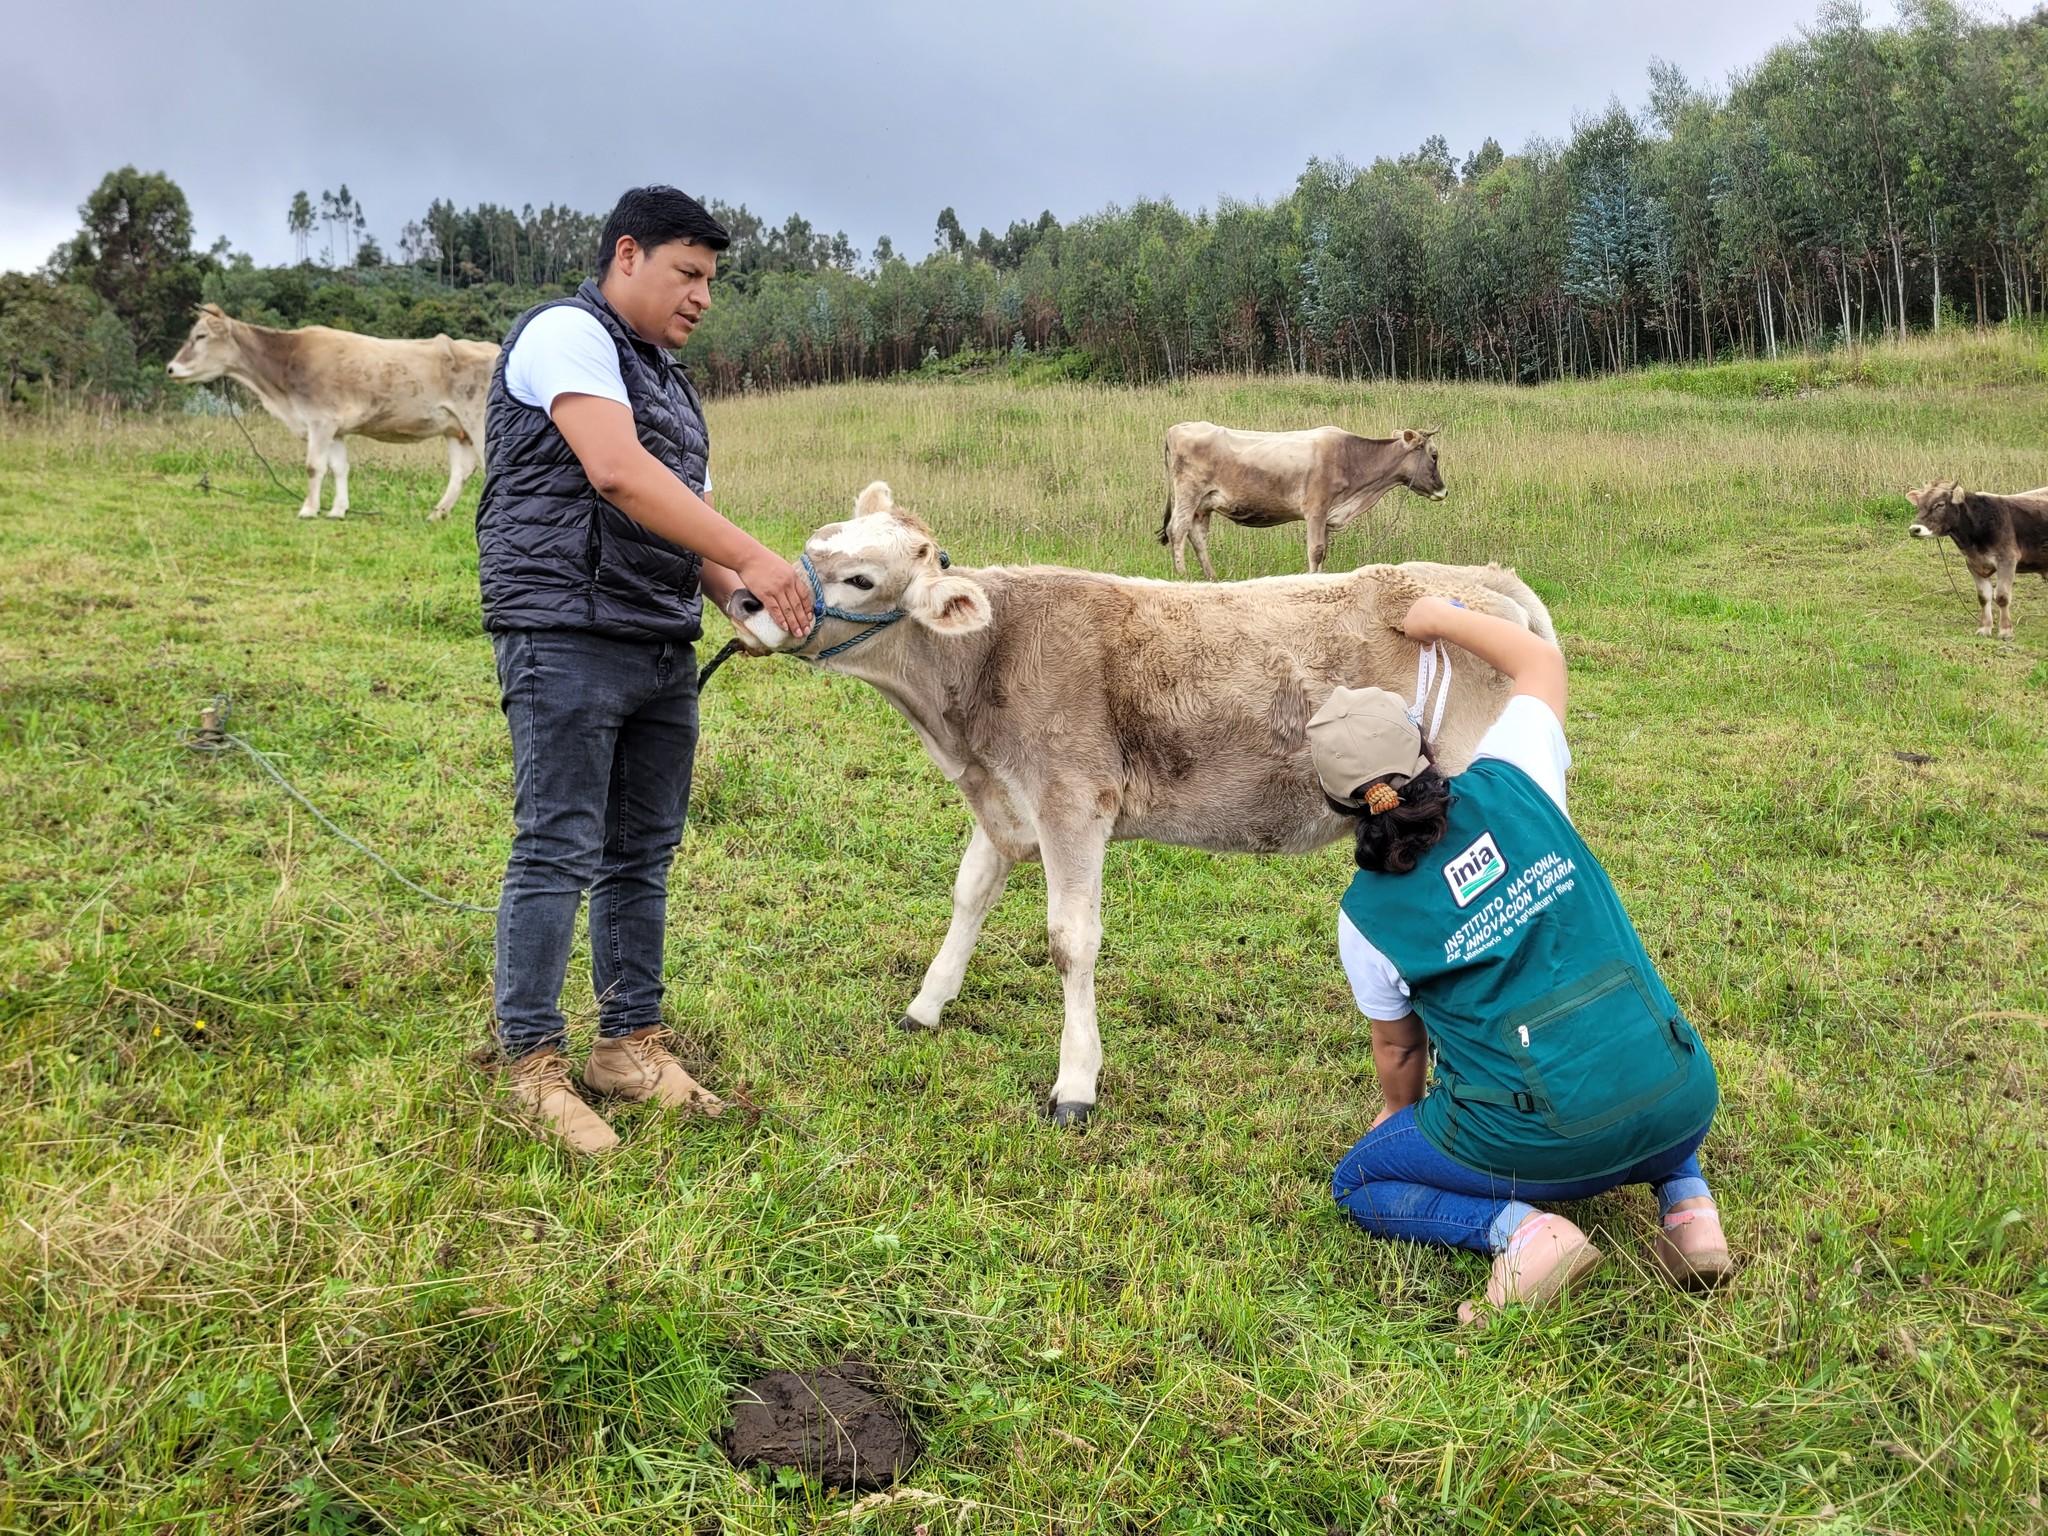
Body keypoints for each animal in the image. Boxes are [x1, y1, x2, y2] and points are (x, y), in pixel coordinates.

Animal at [167, 305, 495, 524]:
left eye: (201, 335)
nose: (170, 368)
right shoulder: (335, 428)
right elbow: (339, 467)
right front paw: (338, 510)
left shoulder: (320, 420)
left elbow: (314, 466)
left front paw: (308, 509)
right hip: (456, 428)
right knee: (461, 471)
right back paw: (437, 514)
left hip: (478, 423)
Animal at [729, 481, 1540, 1130]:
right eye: (818, 540)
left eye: (861, 577)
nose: (743, 598)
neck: (981, 669)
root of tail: (1483, 580)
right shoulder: (1006, 801)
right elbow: (969, 896)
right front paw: (927, 1007)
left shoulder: (1072, 803)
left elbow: (1070, 941)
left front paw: (1075, 1083)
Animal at [1163, 423, 1449, 581]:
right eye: (1434, 455)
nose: (1443, 492)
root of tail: (1177, 428)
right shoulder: (1316, 510)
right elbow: (1316, 550)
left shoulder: (1328, 516)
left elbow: (1325, 552)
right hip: (1188, 492)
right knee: (1177, 530)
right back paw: (1182, 575)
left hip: (1204, 504)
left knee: (1197, 535)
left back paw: (1211, 577)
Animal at [1900, 481, 2048, 638]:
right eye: (1918, 505)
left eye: (1940, 504)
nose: (1914, 529)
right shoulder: (1973, 563)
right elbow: (1984, 596)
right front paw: (1984, 628)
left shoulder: (2007, 559)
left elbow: (2002, 596)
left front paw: (2005, 631)